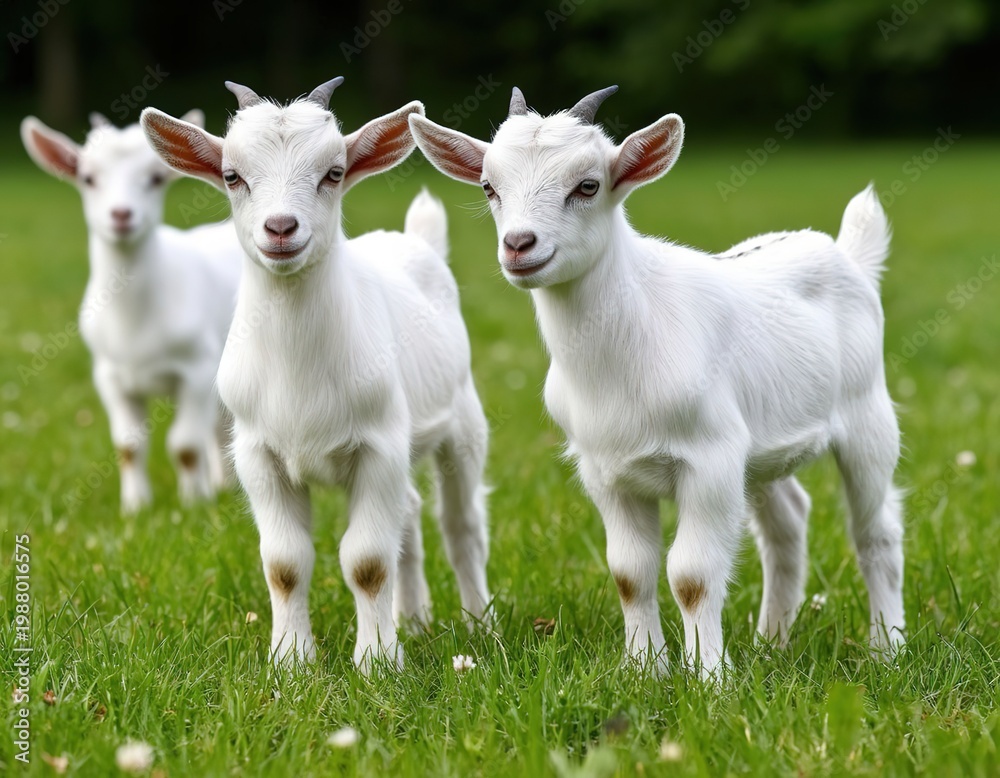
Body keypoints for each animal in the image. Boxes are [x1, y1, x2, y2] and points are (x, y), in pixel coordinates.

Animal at [21, 112, 242, 514]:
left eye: (154, 178)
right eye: (88, 178)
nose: (121, 214)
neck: (135, 325)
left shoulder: (197, 369)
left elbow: (185, 445)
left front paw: (192, 503)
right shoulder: (110, 376)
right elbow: (128, 446)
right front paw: (135, 507)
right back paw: (221, 485)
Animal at [140, 79, 492, 670]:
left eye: (333, 172)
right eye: (232, 176)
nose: (281, 228)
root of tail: (415, 240)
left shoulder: (378, 446)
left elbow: (367, 561)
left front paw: (377, 663)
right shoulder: (257, 454)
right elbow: (285, 563)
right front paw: (292, 661)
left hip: (462, 420)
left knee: (461, 525)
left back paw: (478, 624)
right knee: (409, 514)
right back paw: (413, 620)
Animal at [410, 86, 904, 676]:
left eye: (588, 185)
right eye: (489, 187)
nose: (519, 244)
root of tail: (849, 255)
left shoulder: (711, 461)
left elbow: (692, 576)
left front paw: (709, 678)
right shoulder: (607, 471)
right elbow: (630, 573)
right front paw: (643, 669)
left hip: (868, 416)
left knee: (876, 531)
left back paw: (886, 650)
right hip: (761, 450)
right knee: (788, 522)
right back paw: (772, 642)